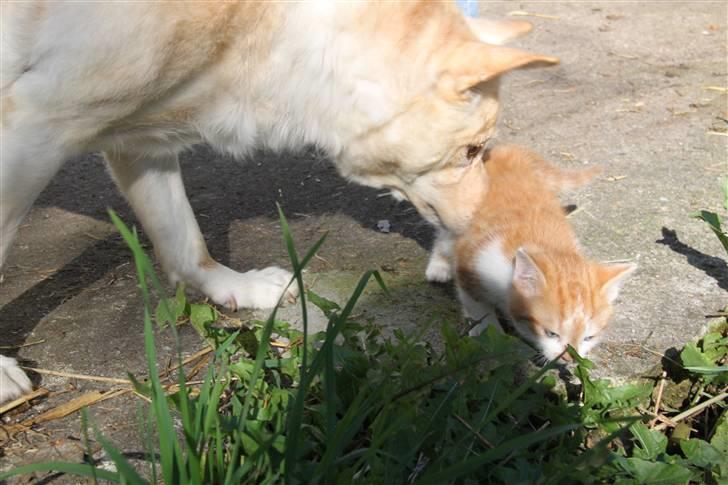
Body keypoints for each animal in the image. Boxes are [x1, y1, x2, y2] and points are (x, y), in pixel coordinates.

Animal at [1, 0, 556, 400]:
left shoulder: (142, 142)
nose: (486, 225)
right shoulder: (31, 131)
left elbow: (186, 242)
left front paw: (233, 286)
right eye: (473, 150)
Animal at [430, 146, 636, 362]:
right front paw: (488, 333)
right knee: (444, 234)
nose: (568, 358)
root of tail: (506, 151)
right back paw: (439, 267)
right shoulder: (472, 261)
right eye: (551, 333)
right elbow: (476, 304)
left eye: (589, 337)